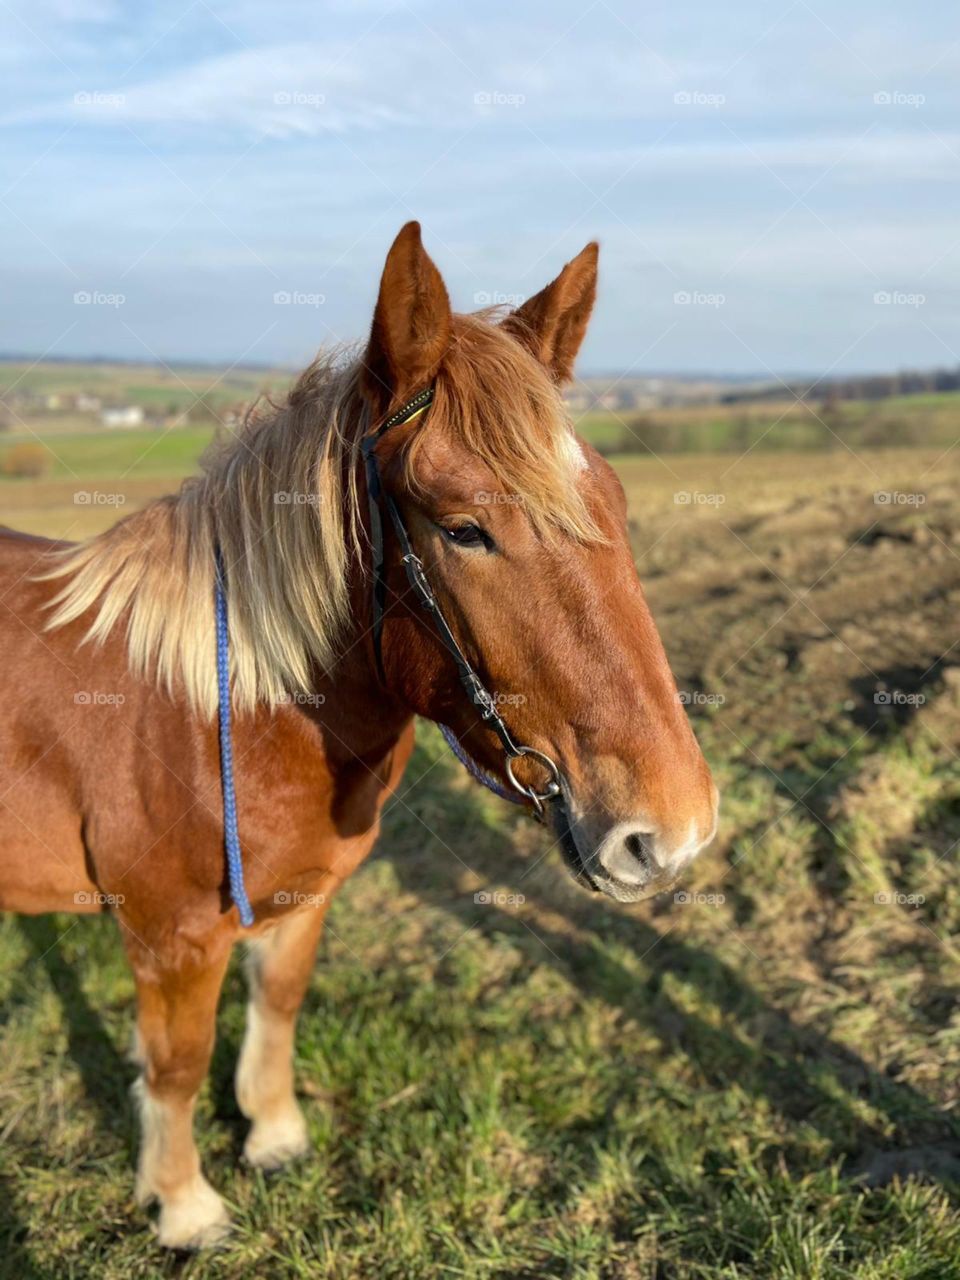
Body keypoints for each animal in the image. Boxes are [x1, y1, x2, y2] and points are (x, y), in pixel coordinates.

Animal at [0, 222, 718, 1249]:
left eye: (615, 503)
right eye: (463, 529)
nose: (671, 831)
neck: (224, 713)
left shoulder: (303, 898)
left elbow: (278, 1005)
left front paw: (274, 1133)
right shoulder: (170, 936)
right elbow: (177, 1065)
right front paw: (183, 1202)